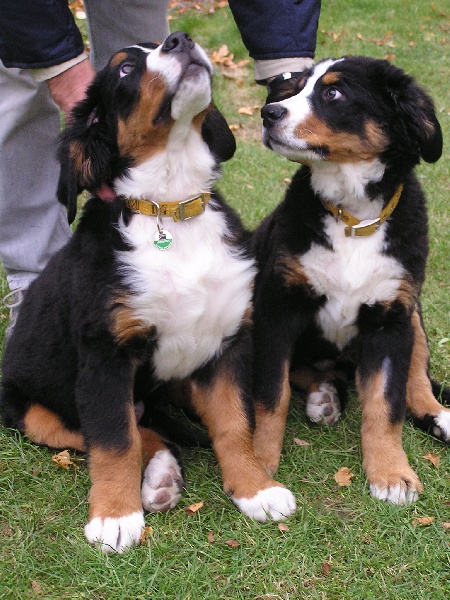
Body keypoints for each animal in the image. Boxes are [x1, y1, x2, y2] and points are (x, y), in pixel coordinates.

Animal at [0, 32, 295, 553]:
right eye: (123, 69)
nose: (180, 40)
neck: (170, 207)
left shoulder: (225, 343)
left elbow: (234, 424)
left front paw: (256, 488)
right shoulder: (105, 355)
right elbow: (116, 440)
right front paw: (115, 518)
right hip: (33, 411)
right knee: (128, 430)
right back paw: (157, 475)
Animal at [251, 56, 450, 504]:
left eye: (333, 93)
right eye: (294, 88)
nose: (269, 114)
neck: (354, 218)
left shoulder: (390, 320)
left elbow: (385, 402)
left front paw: (392, 473)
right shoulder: (277, 308)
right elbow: (272, 394)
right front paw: (259, 463)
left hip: (412, 311)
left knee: (417, 381)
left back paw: (440, 416)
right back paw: (324, 396)